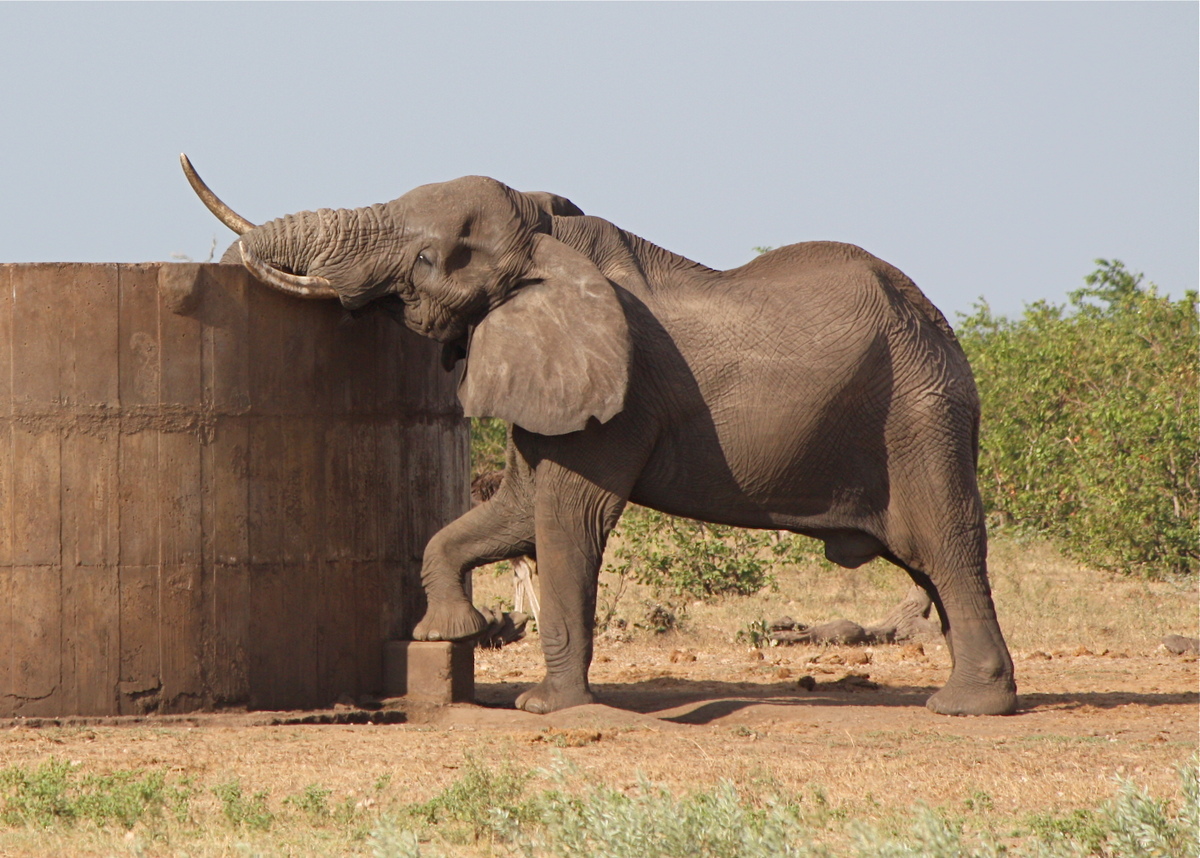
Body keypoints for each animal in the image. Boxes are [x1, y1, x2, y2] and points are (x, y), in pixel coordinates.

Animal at [180, 154, 1018, 717]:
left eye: (428, 259)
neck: (546, 237)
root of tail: (937, 319)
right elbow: (513, 511)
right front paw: (446, 634)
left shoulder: (619, 393)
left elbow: (565, 518)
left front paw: (544, 708)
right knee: (932, 564)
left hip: (920, 410)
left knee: (945, 547)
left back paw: (965, 709)